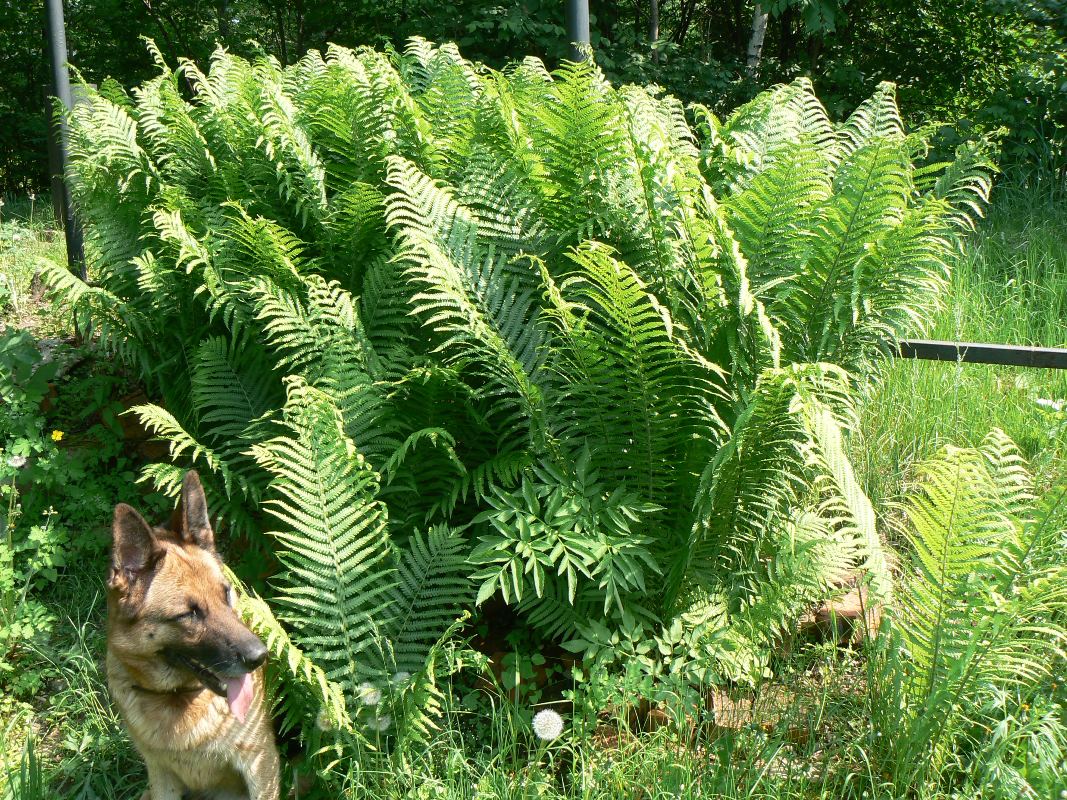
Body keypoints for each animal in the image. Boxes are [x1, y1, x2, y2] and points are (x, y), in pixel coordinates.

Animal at [108, 473, 279, 797]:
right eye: (189, 614)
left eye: (226, 594)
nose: (260, 657)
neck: (178, 698)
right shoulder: (160, 776)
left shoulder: (261, 766)